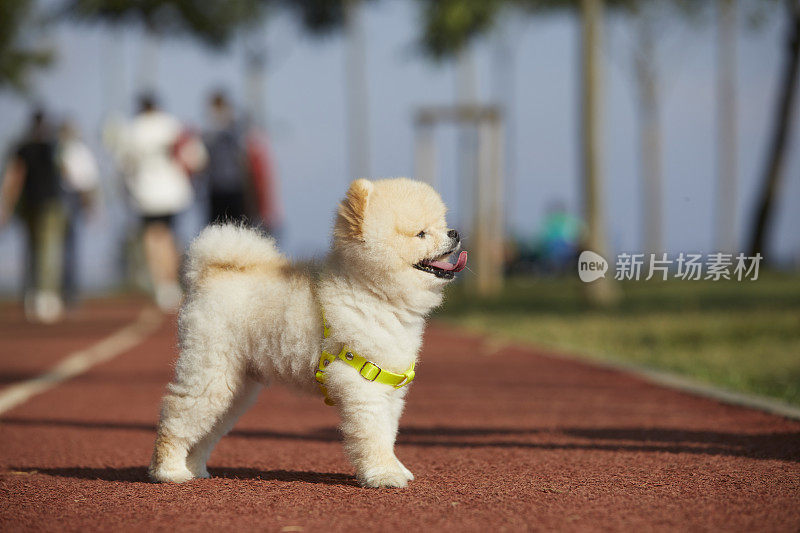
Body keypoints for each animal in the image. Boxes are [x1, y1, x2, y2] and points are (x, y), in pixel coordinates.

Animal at [148, 178, 468, 486]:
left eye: (441, 223)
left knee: (207, 428)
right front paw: (384, 475)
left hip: (235, 387)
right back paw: (169, 471)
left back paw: (195, 469)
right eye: (421, 234)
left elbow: (388, 433)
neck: (373, 294)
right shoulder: (362, 383)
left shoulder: (389, 385)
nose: (454, 232)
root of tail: (210, 273)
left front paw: (393, 468)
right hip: (210, 371)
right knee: (176, 414)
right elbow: (374, 434)